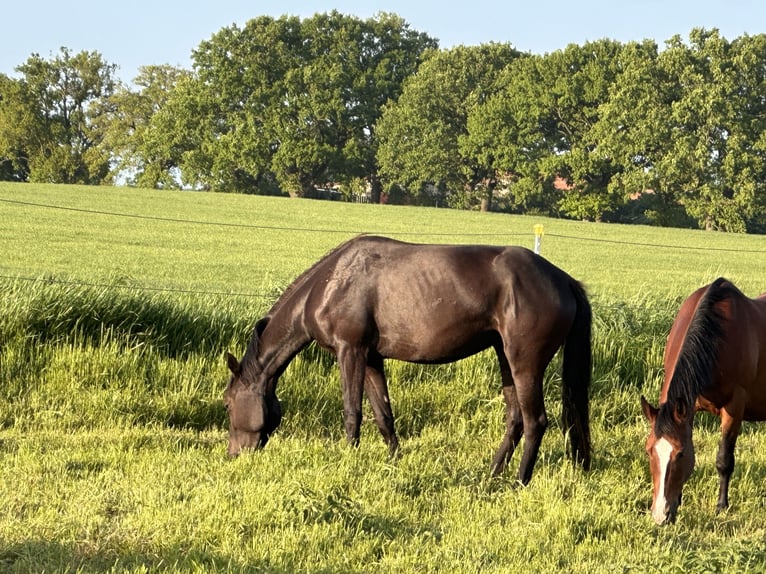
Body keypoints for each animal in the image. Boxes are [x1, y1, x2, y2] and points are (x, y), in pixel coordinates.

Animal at [224, 234, 592, 485]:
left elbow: (352, 412)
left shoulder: (350, 351)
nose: (233, 455)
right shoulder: (371, 358)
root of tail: (564, 280)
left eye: (227, 403)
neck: (330, 282)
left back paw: (519, 481)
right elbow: (383, 415)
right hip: (505, 358)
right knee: (515, 419)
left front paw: (347, 462)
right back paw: (491, 474)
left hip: (524, 363)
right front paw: (393, 463)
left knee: (535, 421)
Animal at [641, 277, 766, 525]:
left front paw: (721, 506)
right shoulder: (689, 407)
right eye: (649, 451)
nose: (660, 515)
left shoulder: (734, 408)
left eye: (680, 453)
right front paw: (678, 501)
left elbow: (724, 460)